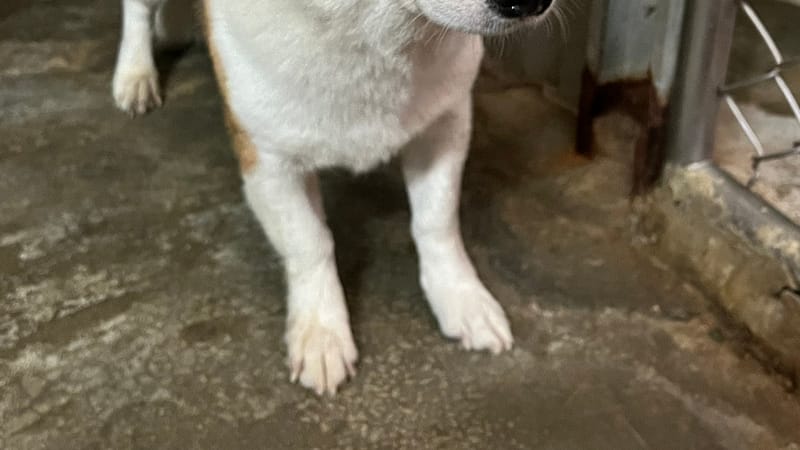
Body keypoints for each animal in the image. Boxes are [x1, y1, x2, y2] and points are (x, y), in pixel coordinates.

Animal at [113, 0, 556, 395]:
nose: (531, 4)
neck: (368, 28)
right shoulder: (268, 162)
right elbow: (310, 243)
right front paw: (321, 332)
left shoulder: (446, 123)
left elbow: (436, 223)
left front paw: (462, 299)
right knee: (136, 10)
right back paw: (135, 74)